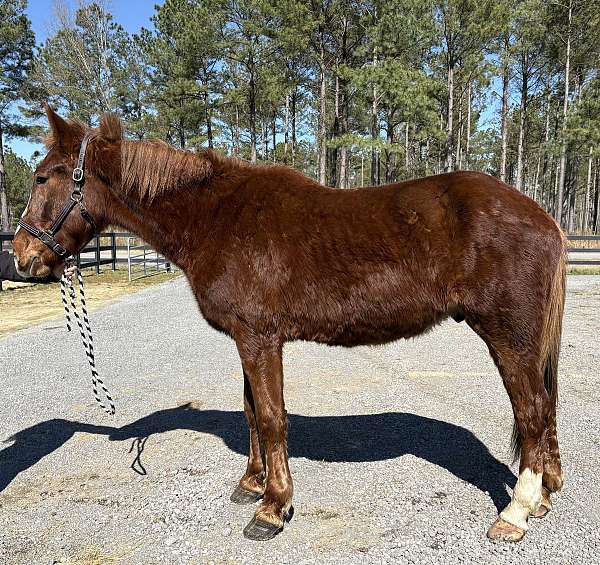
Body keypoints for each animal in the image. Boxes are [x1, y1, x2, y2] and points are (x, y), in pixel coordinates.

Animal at [15, 106, 568, 540]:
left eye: (44, 177)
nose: (22, 258)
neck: (216, 218)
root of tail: (544, 218)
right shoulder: (246, 338)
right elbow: (251, 411)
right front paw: (252, 484)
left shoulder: (260, 339)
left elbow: (272, 417)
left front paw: (273, 508)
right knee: (543, 413)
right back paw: (544, 496)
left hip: (508, 338)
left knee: (532, 413)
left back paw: (515, 513)